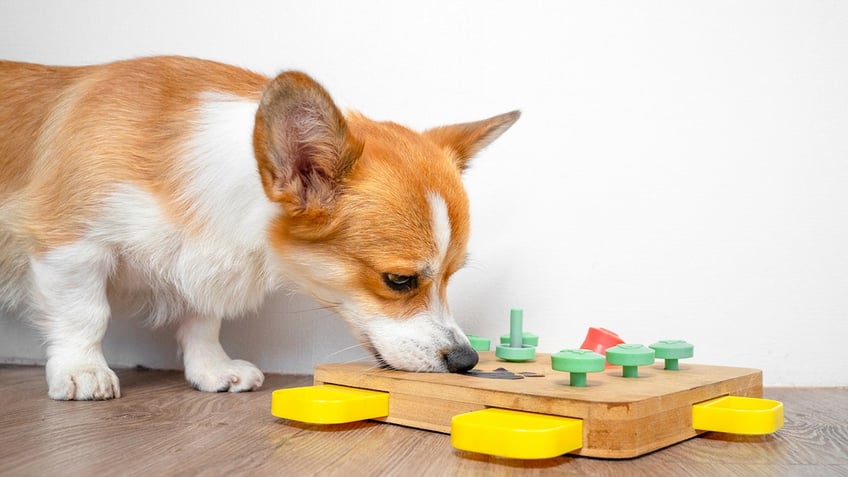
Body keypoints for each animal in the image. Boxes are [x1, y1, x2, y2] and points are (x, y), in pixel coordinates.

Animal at [0, 55, 516, 398]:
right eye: (399, 280)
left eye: (451, 277)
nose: (467, 361)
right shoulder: (68, 244)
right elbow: (86, 314)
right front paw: (81, 370)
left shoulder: (203, 261)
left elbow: (203, 321)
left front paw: (212, 370)